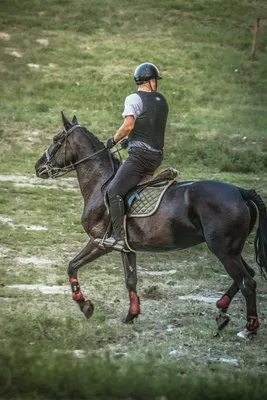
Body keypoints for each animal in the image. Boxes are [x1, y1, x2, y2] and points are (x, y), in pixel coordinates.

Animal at [35, 111, 267, 338]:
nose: (38, 167)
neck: (100, 184)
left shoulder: (100, 242)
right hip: (232, 250)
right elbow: (130, 279)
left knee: (247, 283)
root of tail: (240, 191)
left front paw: (84, 305)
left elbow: (72, 266)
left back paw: (249, 327)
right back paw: (222, 307)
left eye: (56, 139)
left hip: (224, 251)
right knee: (248, 275)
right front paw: (131, 314)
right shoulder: (126, 248)